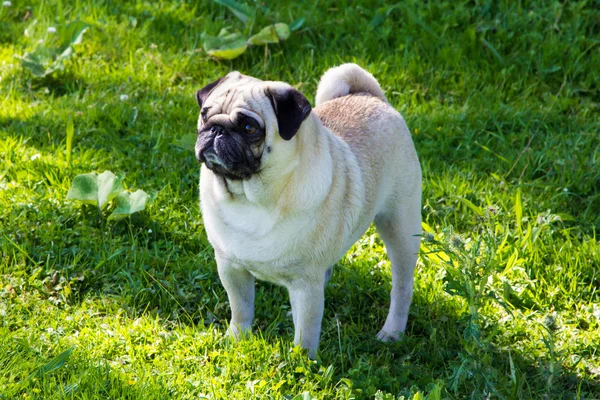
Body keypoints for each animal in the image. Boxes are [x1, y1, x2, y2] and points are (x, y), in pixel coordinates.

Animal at [195, 64, 420, 358]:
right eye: (204, 115)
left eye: (249, 127)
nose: (216, 129)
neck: (251, 199)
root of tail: (371, 96)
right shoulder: (231, 268)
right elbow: (241, 308)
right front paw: (237, 339)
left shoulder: (305, 283)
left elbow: (307, 330)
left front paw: (301, 362)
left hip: (400, 228)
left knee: (401, 287)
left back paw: (392, 332)